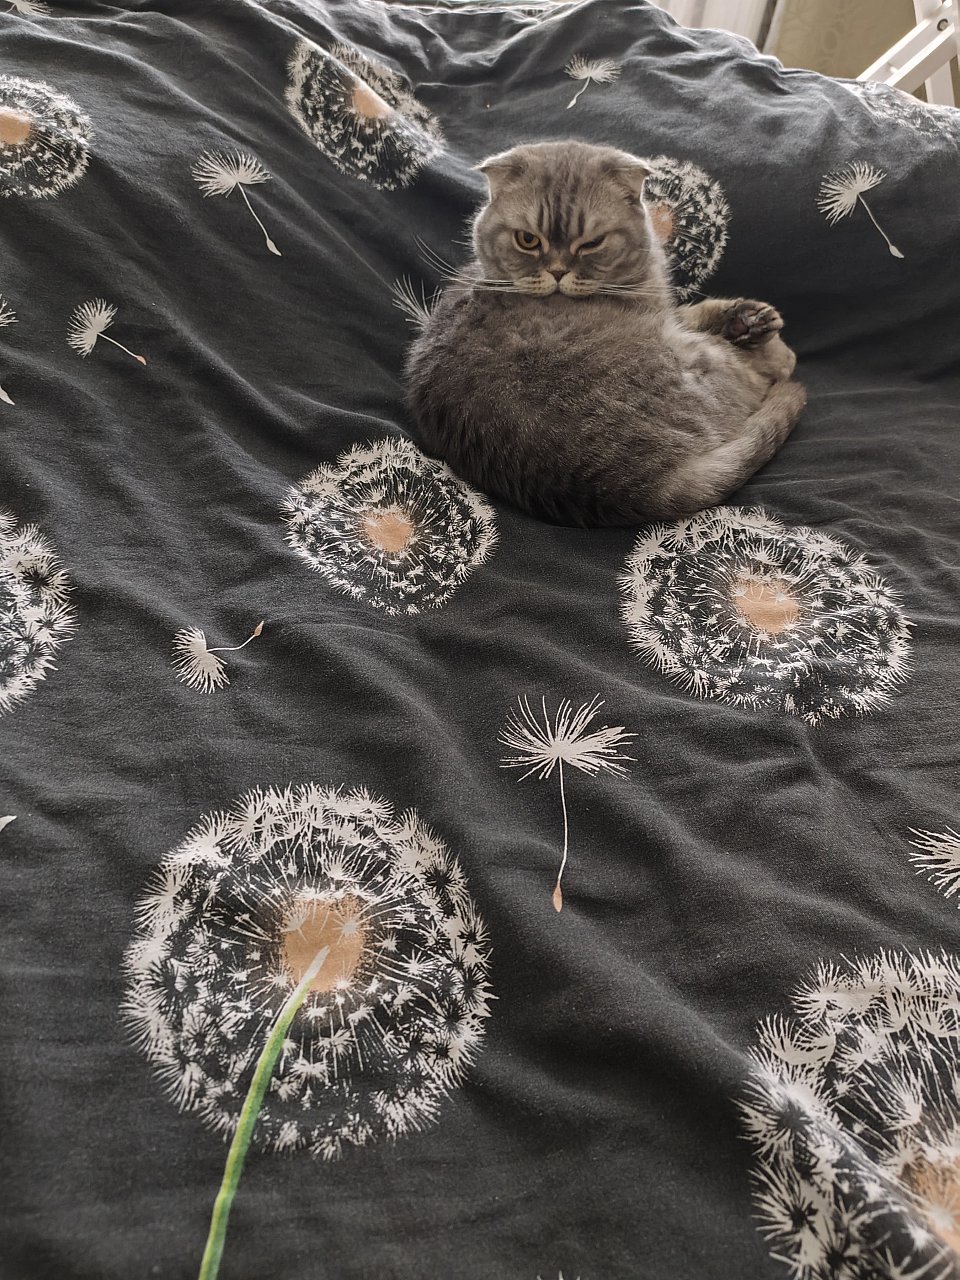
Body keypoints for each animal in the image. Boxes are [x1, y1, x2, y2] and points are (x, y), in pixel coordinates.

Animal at [403, 140, 805, 528]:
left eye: (591, 243)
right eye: (527, 240)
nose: (558, 271)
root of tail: (637, 487)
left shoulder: (662, 309)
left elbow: (691, 310)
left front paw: (748, 318)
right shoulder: (661, 320)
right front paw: (757, 331)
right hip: (702, 362)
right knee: (764, 376)